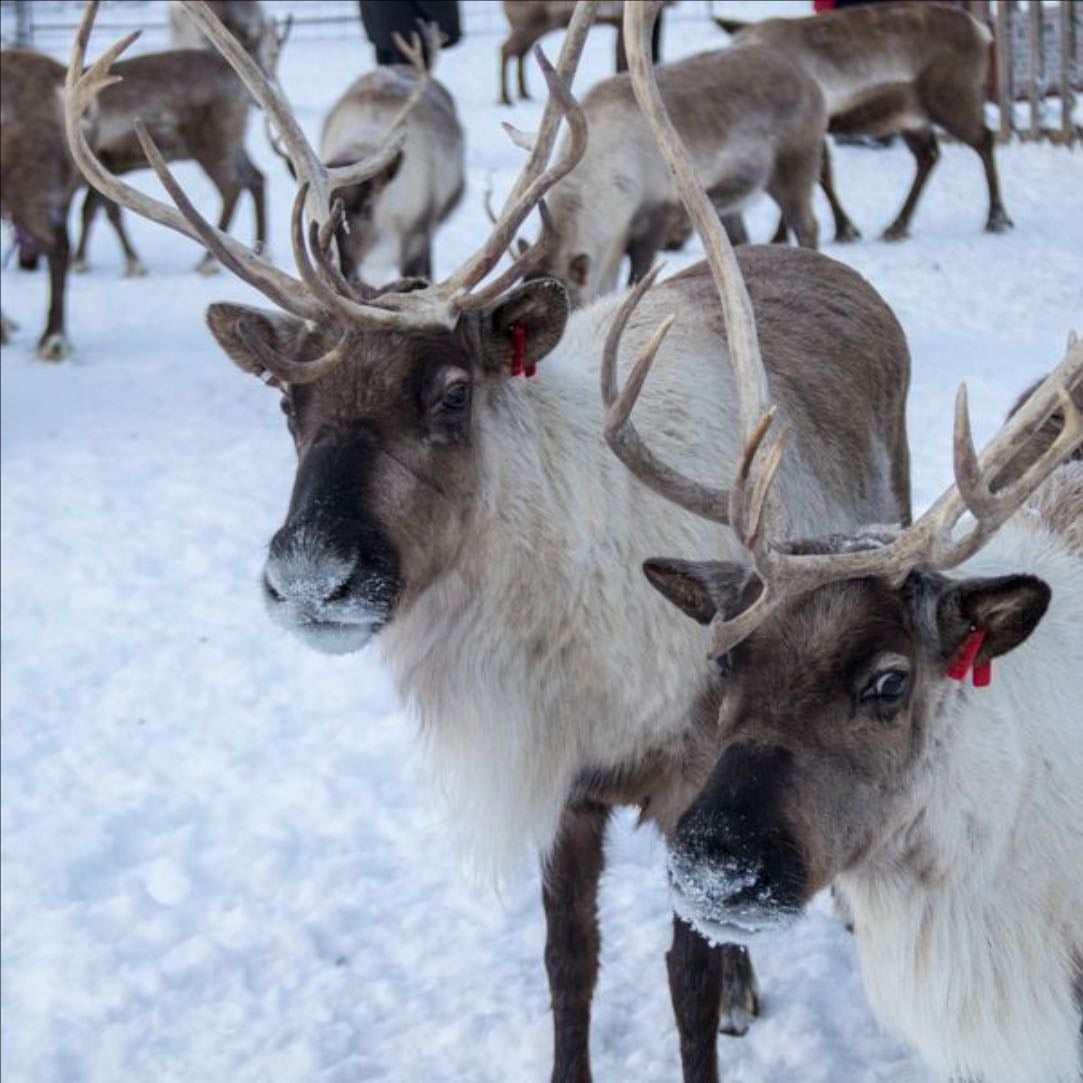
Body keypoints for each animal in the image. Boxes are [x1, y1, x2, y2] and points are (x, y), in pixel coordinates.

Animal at [531, 40, 827, 307]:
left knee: (807, 224)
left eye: (569, 302)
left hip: (795, 167)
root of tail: (809, 80)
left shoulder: (657, 214)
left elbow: (637, 276)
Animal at [715, 3, 1012, 243]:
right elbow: (816, 177)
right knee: (928, 155)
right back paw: (897, 225)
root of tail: (981, 31)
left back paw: (996, 218)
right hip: (912, 117)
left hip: (952, 100)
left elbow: (817, 177)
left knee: (983, 139)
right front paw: (837, 229)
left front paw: (837, 230)